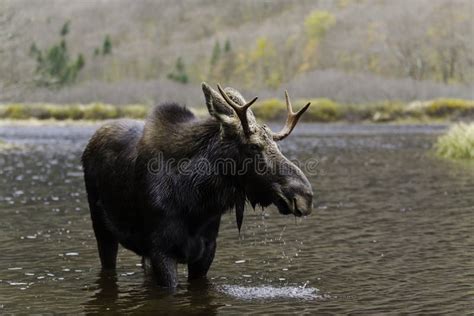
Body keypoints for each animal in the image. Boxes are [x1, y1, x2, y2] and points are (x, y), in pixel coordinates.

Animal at [82, 82, 314, 288]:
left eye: (276, 144)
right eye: (254, 146)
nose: (305, 196)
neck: (196, 201)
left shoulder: (206, 251)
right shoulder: (161, 251)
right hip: (102, 229)